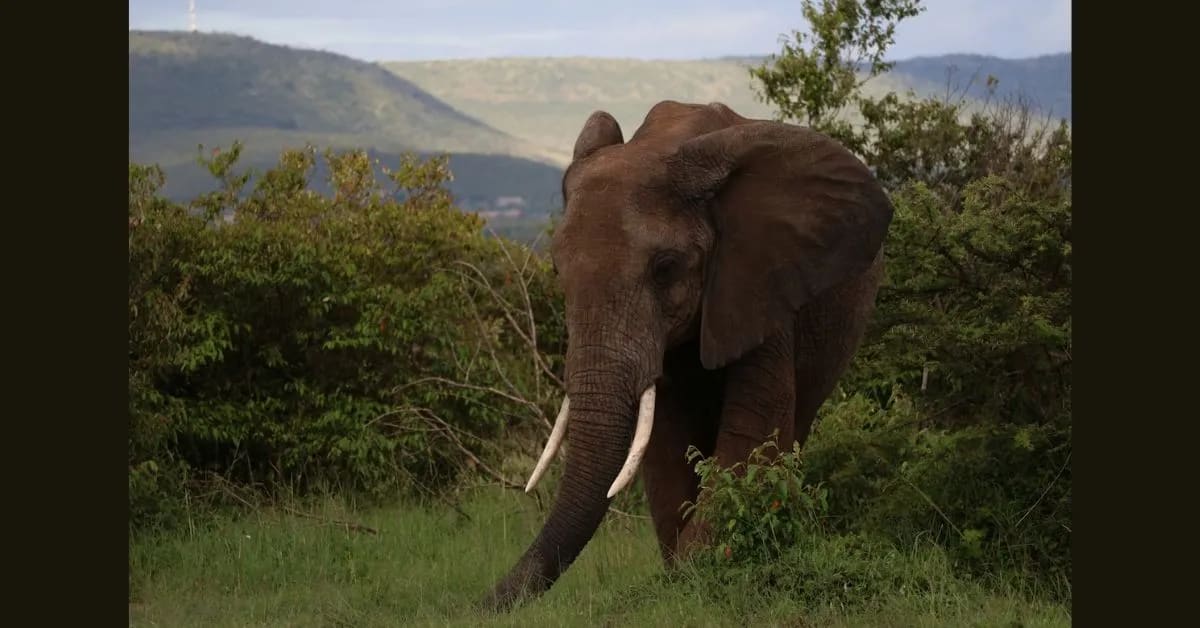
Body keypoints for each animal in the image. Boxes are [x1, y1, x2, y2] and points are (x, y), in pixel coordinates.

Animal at [481, 100, 894, 611]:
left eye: (666, 268)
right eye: (556, 269)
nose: (479, 604)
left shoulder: (757, 277)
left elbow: (752, 430)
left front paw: (694, 575)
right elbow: (666, 443)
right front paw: (682, 578)